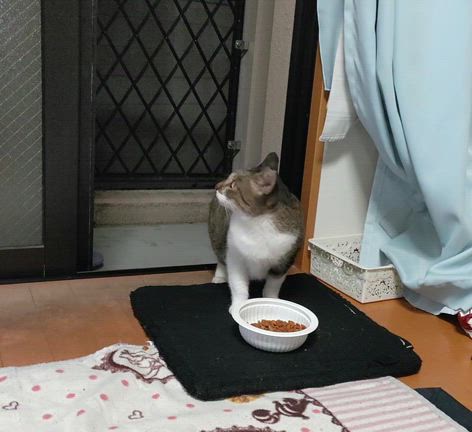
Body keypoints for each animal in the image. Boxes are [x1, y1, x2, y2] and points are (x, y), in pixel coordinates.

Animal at [208, 152, 304, 315]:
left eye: (232, 185)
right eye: (228, 180)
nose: (216, 186)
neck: (256, 222)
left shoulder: (284, 260)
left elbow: (273, 285)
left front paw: (272, 302)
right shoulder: (235, 257)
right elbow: (238, 285)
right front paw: (238, 306)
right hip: (217, 234)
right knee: (220, 258)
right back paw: (219, 277)